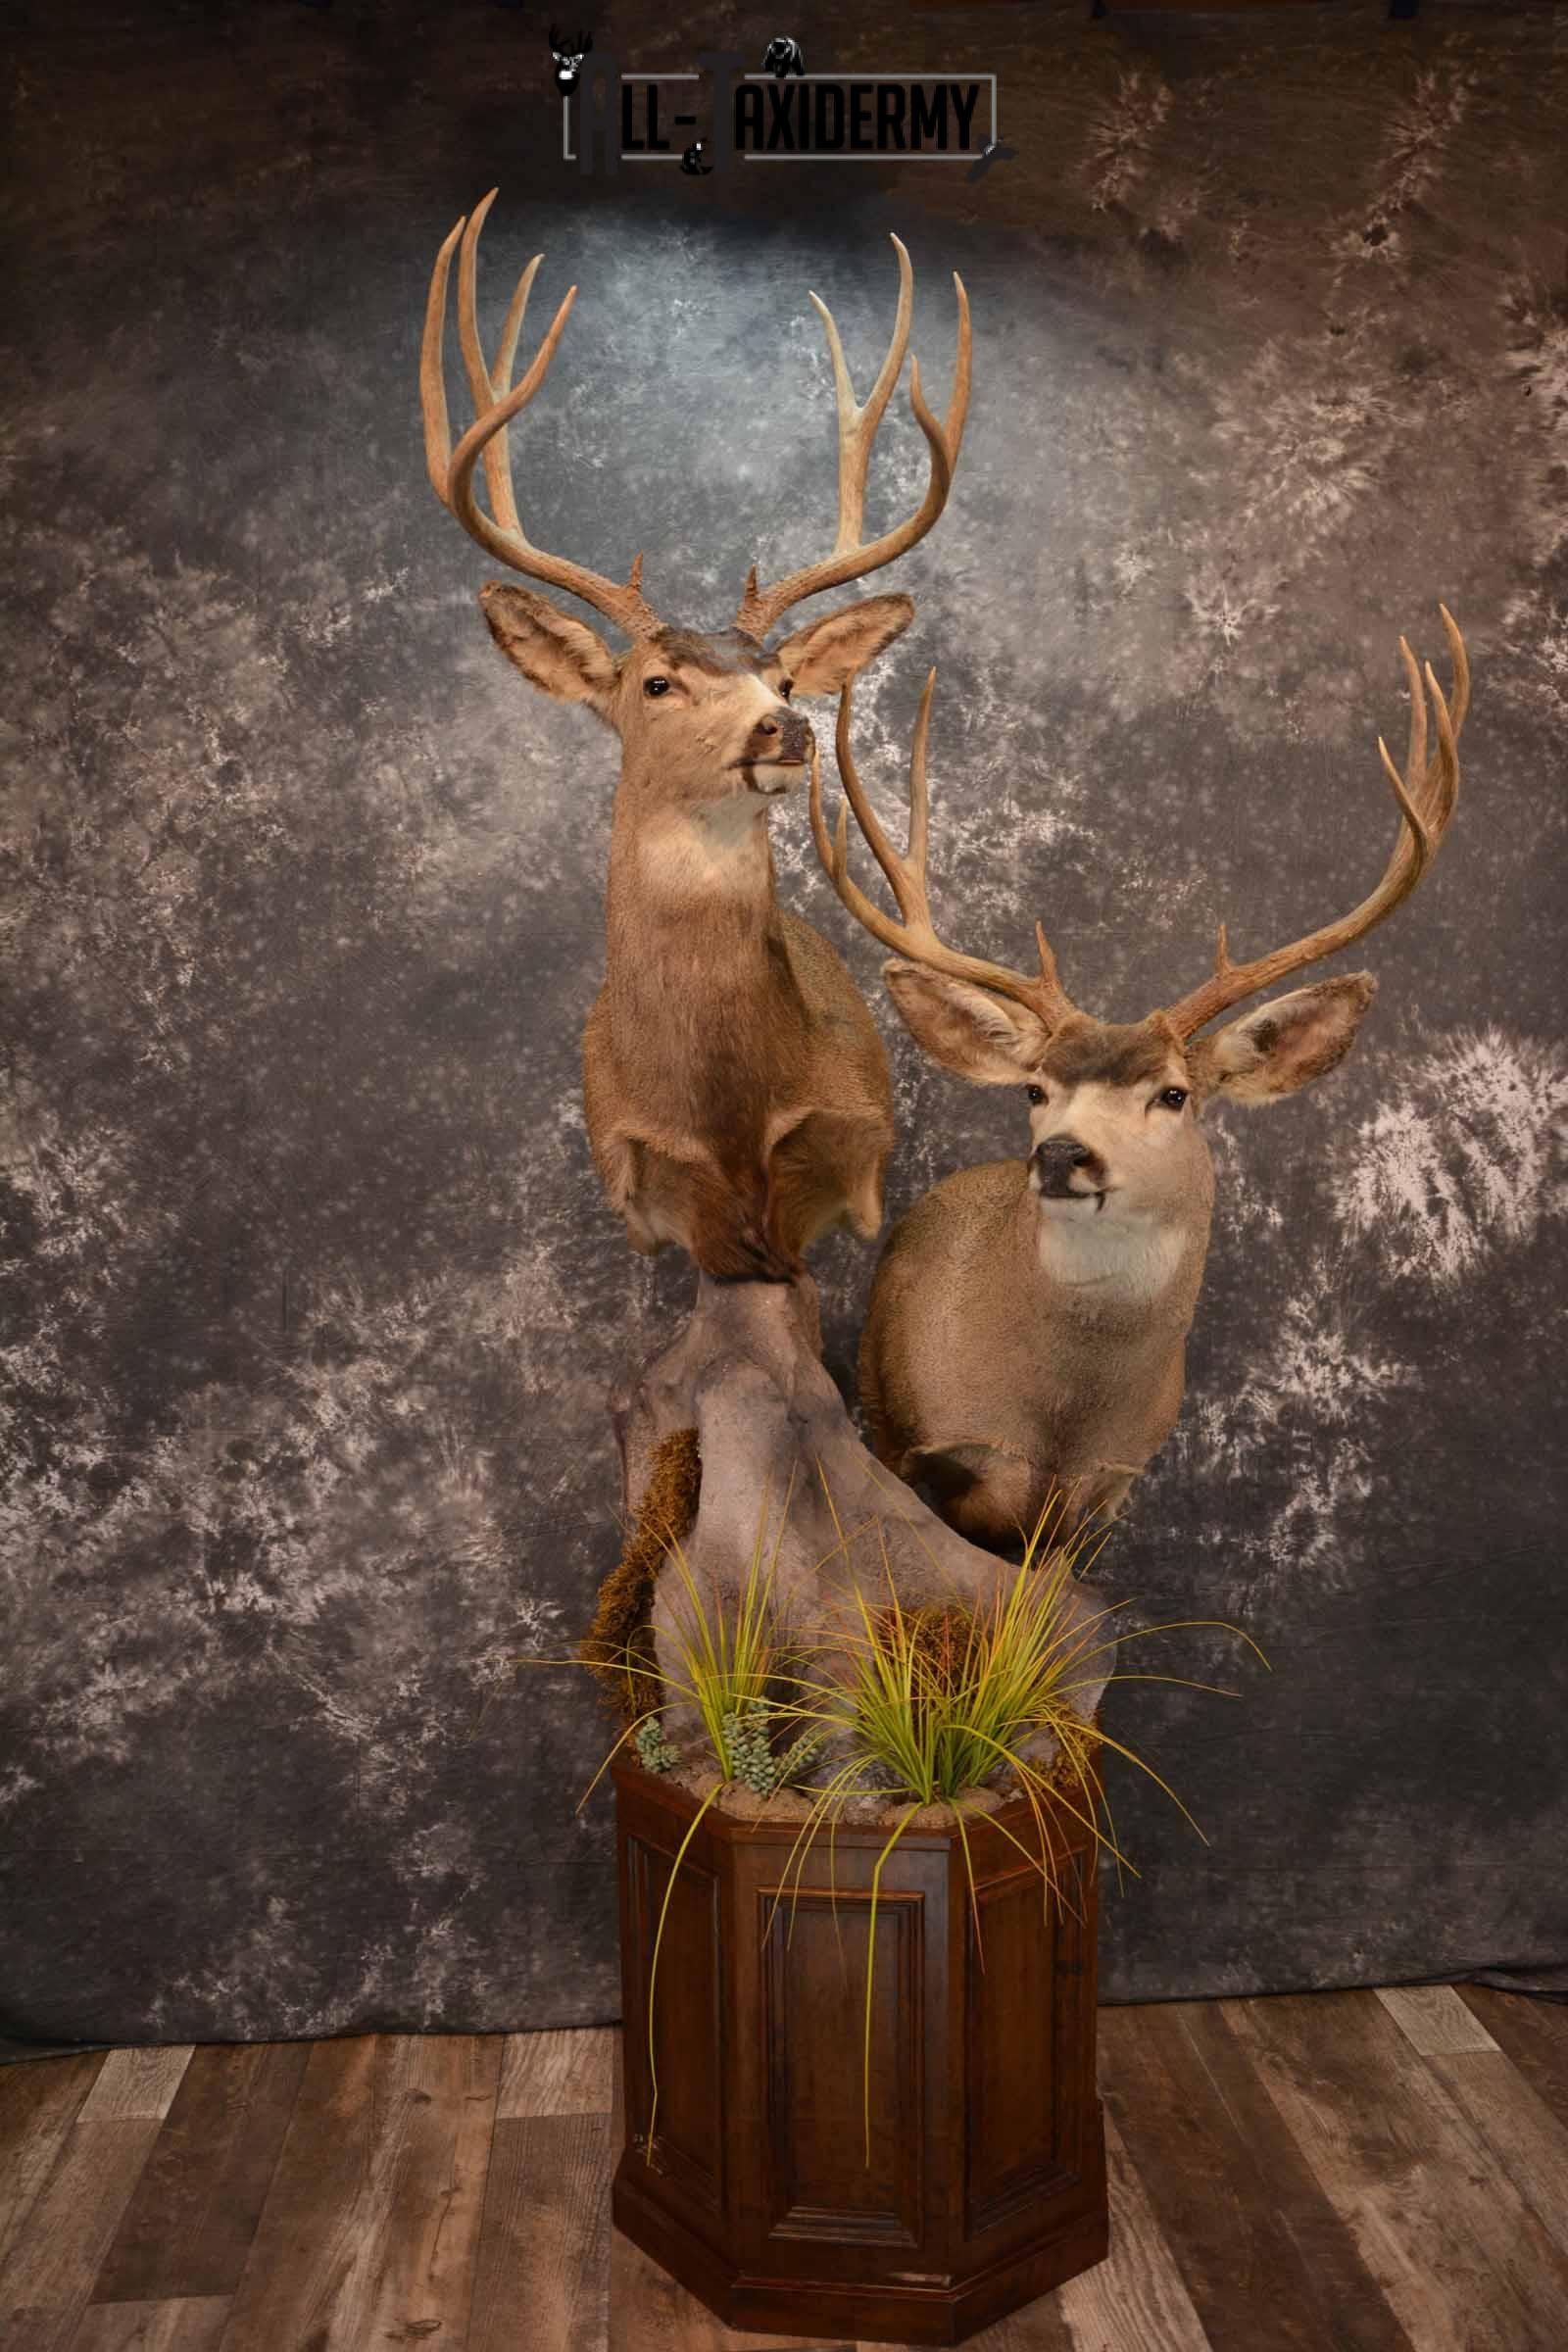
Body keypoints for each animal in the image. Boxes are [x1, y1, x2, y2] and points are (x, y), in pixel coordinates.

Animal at [812, 612, 1468, 1547]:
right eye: (1034, 1089)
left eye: (1174, 1094)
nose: (1060, 1153)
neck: (1061, 1422)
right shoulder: (927, 1454)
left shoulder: (1111, 1493)